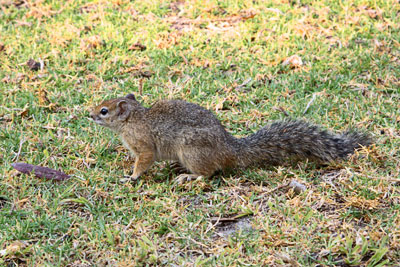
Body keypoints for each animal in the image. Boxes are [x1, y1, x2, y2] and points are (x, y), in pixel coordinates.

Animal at [89, 93, 374, 183]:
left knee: (209, 172)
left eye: (104, 111)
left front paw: (132, 177)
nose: (89, 114)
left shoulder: (144, 146)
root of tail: (231, 150)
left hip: (192, 150)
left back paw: (189, 177)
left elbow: (144, 161)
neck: (133, 119)